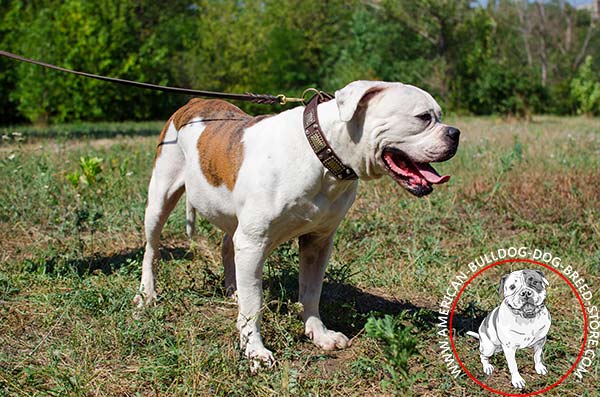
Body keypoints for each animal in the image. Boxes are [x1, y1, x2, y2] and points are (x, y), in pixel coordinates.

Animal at [134, 81, 458, 372]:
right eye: (423, 118)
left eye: (440, 116)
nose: (455, 133)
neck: (324, 155)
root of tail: (194, 102)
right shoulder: (253, 244)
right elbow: (254, 304)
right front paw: (255, 351)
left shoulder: (318, 241)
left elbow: (311, 291)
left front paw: (319, 333)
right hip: (160, 198)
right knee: (152, 249)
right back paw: (147, 294)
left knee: (226, 245)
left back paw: (232, 289)